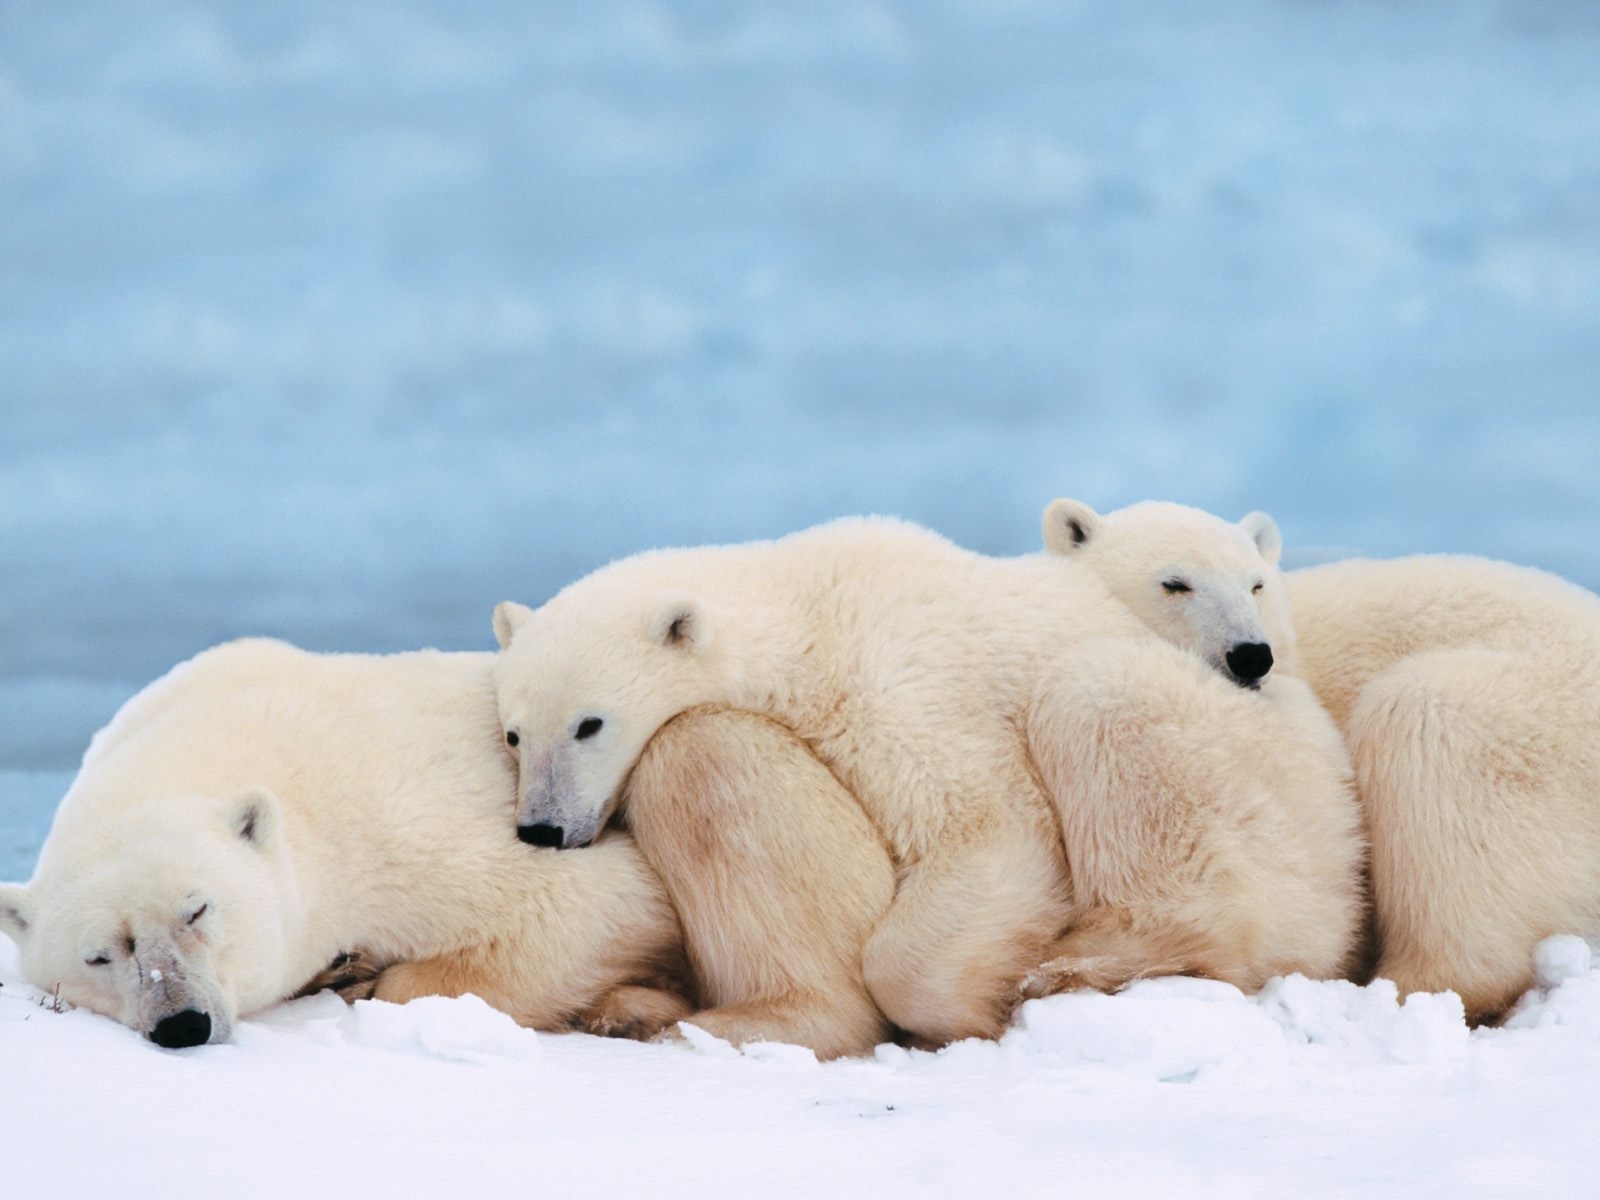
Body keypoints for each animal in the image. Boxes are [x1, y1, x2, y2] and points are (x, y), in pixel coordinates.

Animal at [0, 640, 896, 1049]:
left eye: (198, 910)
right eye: (99, 955)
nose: (180, 1023)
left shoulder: (399, 820)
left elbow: (591, 904)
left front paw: (368, 976)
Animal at [489, 518, 1363, 1049]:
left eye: (589, 723)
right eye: (514, 732)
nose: (542, 828)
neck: (808, 607)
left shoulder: (899, 682)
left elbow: (986, 828)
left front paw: (973, 1008)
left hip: (1253, 781)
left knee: (1099, 699)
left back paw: (1083, 965)